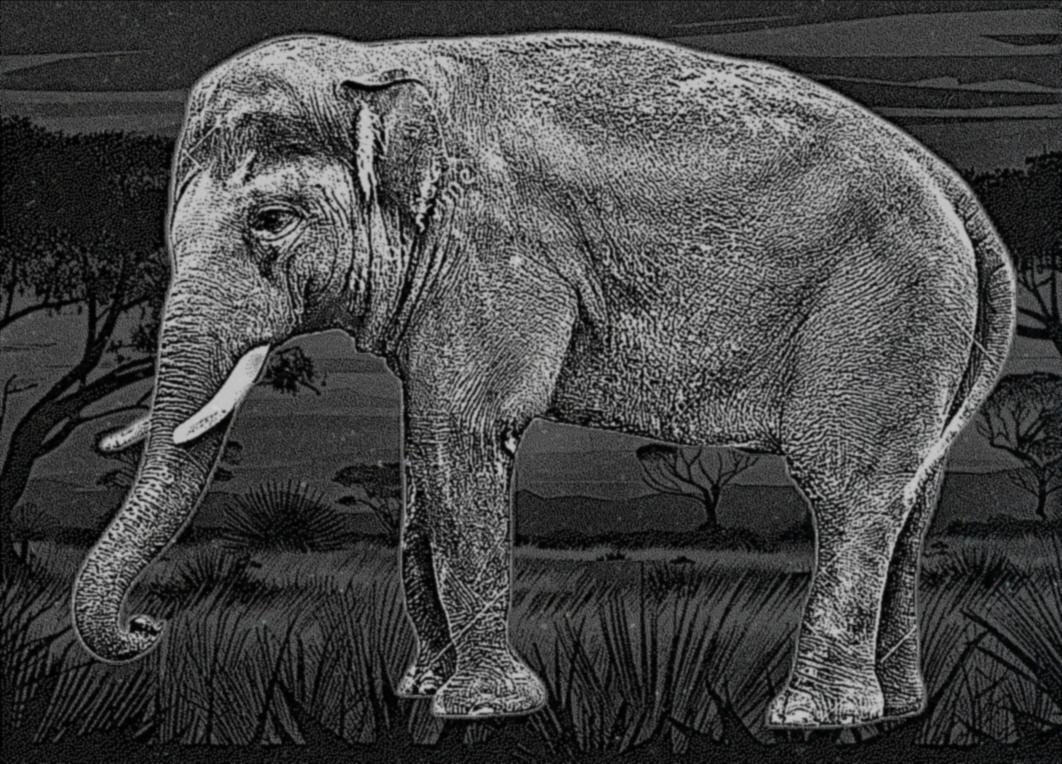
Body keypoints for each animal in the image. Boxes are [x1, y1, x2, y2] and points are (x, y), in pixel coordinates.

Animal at [75, 32, 1015, 728]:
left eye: (271, 221)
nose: (147, 626)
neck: (385, 71)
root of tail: (955, 190)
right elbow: (425, 454)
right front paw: (423, 695)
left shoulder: (491, 253)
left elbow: (465, 433)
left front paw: (484, 711)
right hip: (926, 335)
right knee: (909, 502)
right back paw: (898, 709)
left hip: (881, 315)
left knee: (848, 488)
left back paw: (812, 719)